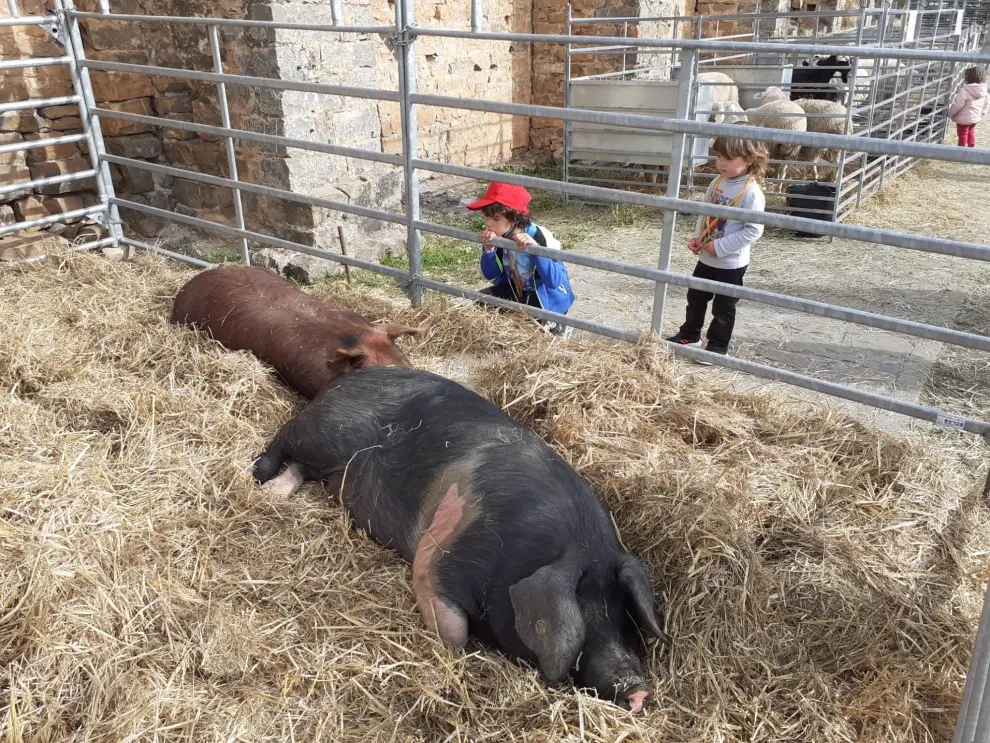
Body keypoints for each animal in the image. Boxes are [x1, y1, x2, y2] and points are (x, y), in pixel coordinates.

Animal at [256, 366, 676, 716]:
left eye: (623, 615)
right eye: (582, 613)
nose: (638, 690)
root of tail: (348, 377)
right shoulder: (440, 557)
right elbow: (454, 633)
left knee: (302, 467)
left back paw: (278, 491)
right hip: (320, 432)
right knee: (283, 440)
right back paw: (261, 478)